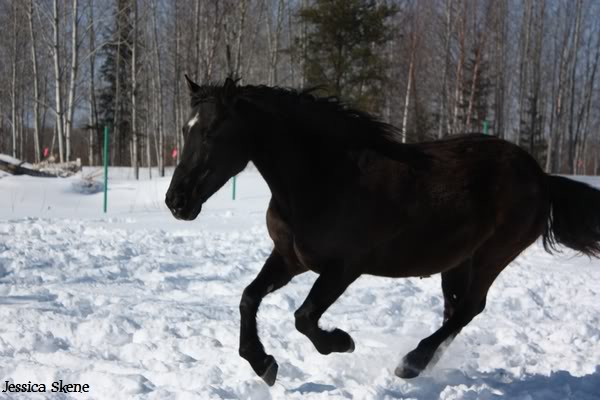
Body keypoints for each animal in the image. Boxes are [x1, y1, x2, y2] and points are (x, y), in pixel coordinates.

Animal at [164, 76, 600, 386]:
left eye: (213, 132)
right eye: (185, 129)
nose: (176, 202)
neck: (324, 178)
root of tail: (541, 176)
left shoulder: (344, 268)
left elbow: (304, 317)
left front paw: (341, 342)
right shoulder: (290, 258)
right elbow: (248, 298)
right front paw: (263, 364)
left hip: (493, 255)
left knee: (470, 308)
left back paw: (410, 364)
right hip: (457, 261)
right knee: (456, 310)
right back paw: (425, 364)